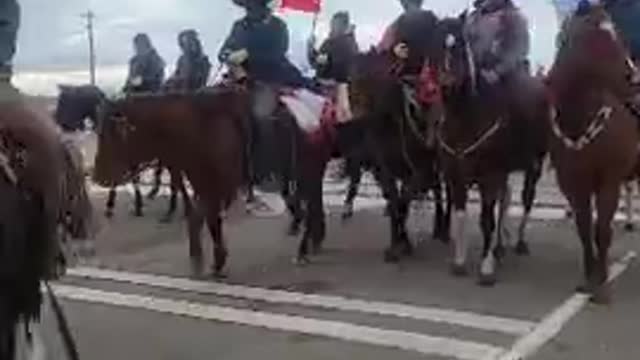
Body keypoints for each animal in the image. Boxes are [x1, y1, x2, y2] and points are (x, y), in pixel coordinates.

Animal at [348, 47, 448, 262]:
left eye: (373, 81)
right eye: (350, 83)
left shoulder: (418, 173)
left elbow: (403, 204)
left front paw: (403, 244)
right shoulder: (387, 172)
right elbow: (395, 203)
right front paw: (397, 243)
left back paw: (442, 228)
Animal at [436, 15, 552, 284]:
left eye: (460, 45)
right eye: (436, 46)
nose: (446, 83)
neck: (467, 117)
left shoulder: (489, 175)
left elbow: (486, 219)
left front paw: (486, 268)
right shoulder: (457, 176)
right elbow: (461, 215)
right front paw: (459, 262)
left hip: (534, 164)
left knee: (526, 198)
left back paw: (518, 242)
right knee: (506, 199)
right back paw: (500, 246)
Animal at [544, 4, 640, 304]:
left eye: (616, 34)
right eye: (595, 39)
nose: (634, 79)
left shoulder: (609, 180)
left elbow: (603, 230)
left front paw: (603, 283)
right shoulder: (573, 183)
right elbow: (585, 228)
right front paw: (589, 278)